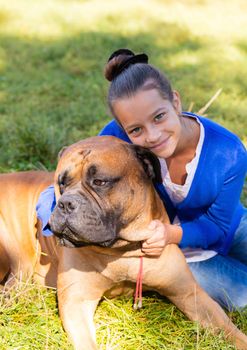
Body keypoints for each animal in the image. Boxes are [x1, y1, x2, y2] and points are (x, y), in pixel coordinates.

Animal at [0, 135, 247, 348]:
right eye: (62, 183)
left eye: (100, 182)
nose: (66, 203)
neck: (122, 251)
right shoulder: (77, 301)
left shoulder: (187, 292)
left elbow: (228, 328)